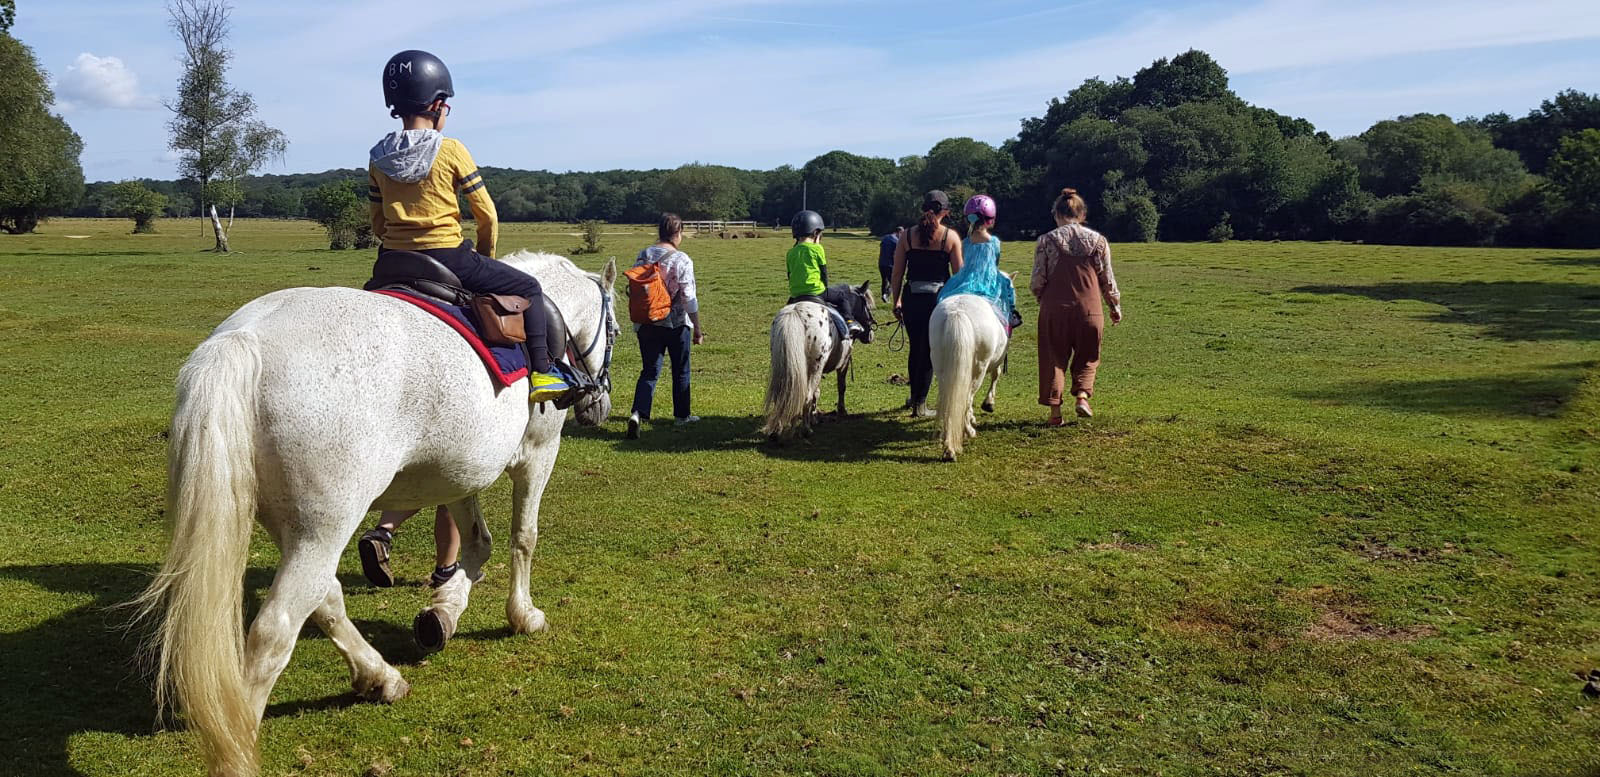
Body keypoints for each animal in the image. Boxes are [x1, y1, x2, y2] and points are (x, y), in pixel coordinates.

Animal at [134, 252, 617, 773]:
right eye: (616, 330)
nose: (600, 403)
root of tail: (243, 340)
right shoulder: (538, 453)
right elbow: (522, 538)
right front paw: (523, 615)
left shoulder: (454, 473)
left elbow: (476, 545)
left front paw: (443, 612)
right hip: (324, 529)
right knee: (274, 631)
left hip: (301, 529)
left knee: (325, 598)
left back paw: (379, 676)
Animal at [761, 284, 876, 444]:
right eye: (868, 306)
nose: (870, 335)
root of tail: (795, 314)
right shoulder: (843, 362)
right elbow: (840, 387)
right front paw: (841, 410)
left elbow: (817, 392)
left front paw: (814, 416)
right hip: (815, 366)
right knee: (807, 396)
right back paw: (806, 430)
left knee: (782, 396)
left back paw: (776, 432)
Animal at [928, 289, 1011, 463]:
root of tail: (957, 312)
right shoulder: (997, 360)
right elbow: (996, 374)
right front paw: (988, 403)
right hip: (979, 368)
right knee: (966, 398)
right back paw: (966, 434)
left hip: (941, 367)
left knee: (950, 398)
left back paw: (949, 445)